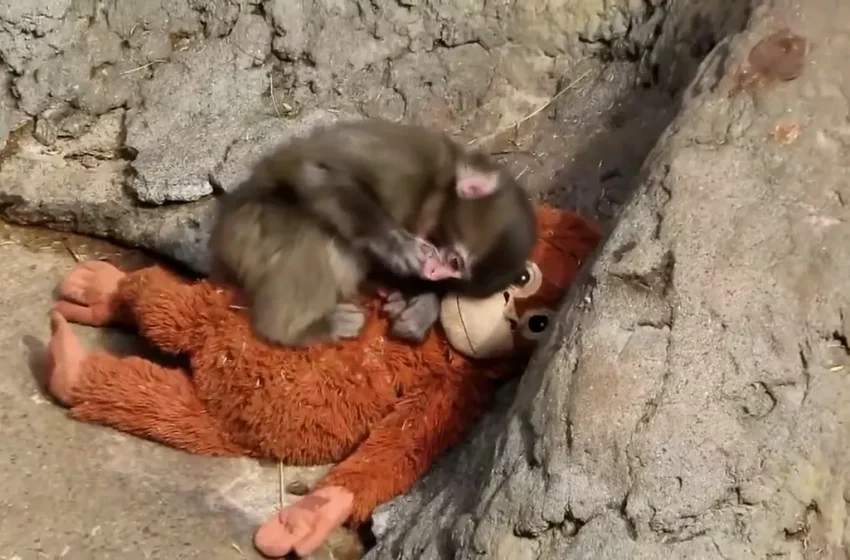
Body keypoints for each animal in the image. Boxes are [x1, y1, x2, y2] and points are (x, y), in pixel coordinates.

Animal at [209, 118, 537, 346]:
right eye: (455, 262)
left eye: (455, 276)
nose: (433, 273)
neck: (437, 189)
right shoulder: (407, 164)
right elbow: (319, 170)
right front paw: (396, 245)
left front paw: (419, 306)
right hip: (249, 228)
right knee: (306, 238)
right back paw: (300, 329)